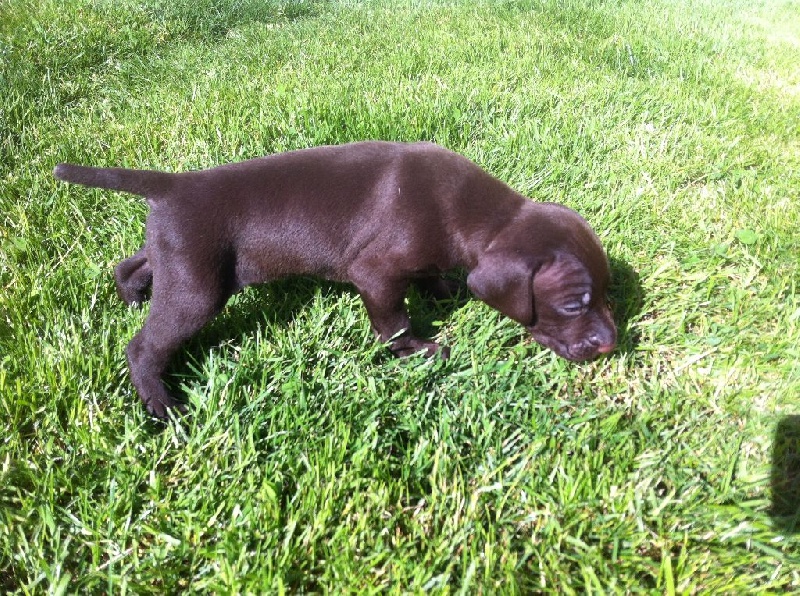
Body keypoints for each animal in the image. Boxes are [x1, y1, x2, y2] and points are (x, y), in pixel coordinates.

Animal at [54, 141, 620, 416]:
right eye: (574, 304)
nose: (610, 344)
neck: (480, 214)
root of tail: (171, 186)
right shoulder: (376, 273)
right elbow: (393, 321)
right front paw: (416, 349)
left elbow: (433, 277)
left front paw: (444, 293)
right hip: (197, 288)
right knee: (144, 347)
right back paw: (159, 402)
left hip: (177, 257)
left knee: (135, 264)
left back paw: (131, 294)